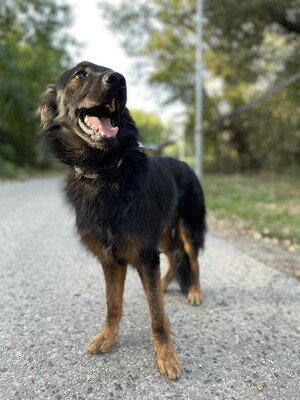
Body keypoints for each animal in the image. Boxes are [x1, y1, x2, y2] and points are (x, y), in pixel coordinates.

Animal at [39, 61, 206, 380]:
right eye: (81, 73)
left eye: (114, 72)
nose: (118, 80)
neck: (106, 172)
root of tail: (186, 164)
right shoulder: (111, 259)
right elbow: (113, 304)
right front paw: (108, 338)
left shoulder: (143, 253)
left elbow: (156, 315)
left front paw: (167, 356)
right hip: (162, 237)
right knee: (171, 258)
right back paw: (164, 284)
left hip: (187, 231)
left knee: (192, 260)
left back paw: (194, 291)